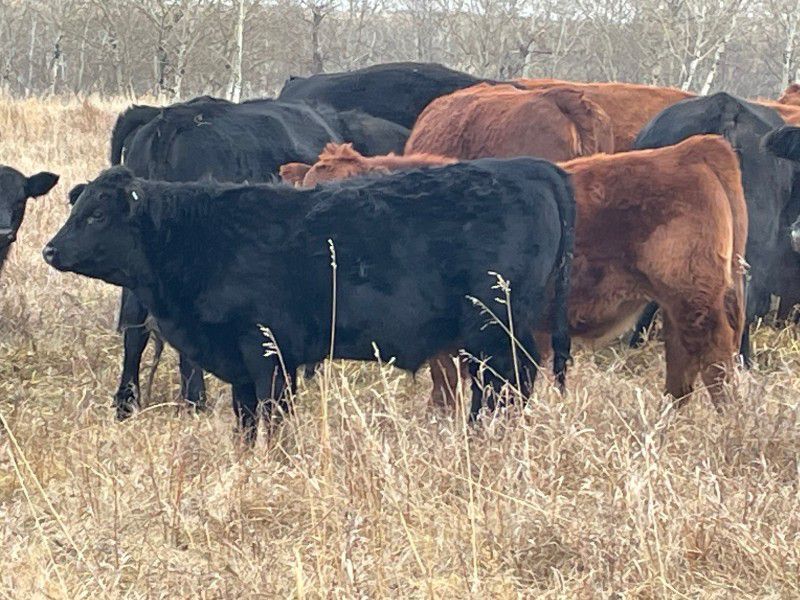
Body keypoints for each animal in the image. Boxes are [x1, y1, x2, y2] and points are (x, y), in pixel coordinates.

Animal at [44, 159, 576, 443]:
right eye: (77, 207)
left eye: (96, 216)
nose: (49, 249)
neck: (201, 237)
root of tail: (530, 167)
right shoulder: (239, 361)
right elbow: (246, 420)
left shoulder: (267, 351)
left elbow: (274, 414)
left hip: (493, 328)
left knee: (503, 384)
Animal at [281, 137, 747, 410]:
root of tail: (695, 150)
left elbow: (446, 387)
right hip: (678, 304)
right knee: (682, 364)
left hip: (693, 298)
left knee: (715, 361)